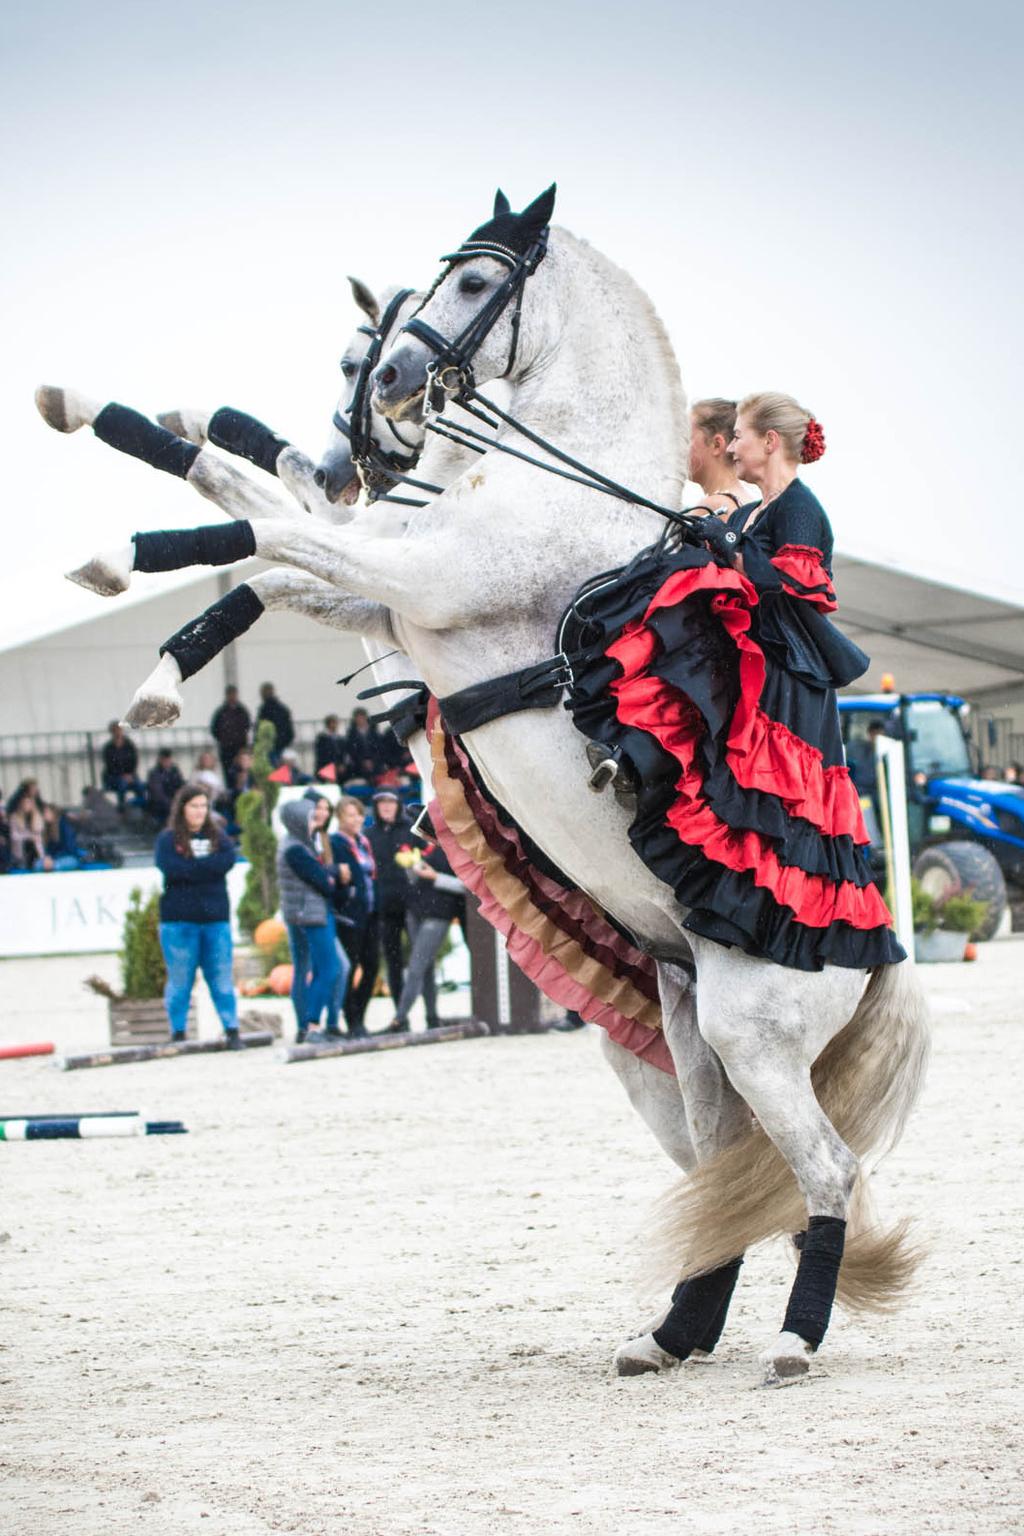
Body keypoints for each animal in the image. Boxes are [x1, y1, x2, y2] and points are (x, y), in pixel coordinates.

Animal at [57, 188, 927, 1382]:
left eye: (473, 283)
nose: (380, 398)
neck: (545, 479)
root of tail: (874, 953)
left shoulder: (415, 581)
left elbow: (265, 535)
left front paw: (120, 562)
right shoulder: (387, 603)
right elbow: (261, 537)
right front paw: (129, 434)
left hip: (753, 1035)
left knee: (825, 1174)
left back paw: (792, 1339)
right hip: (686, 1046)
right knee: (736, 1184)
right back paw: (672, 1335)